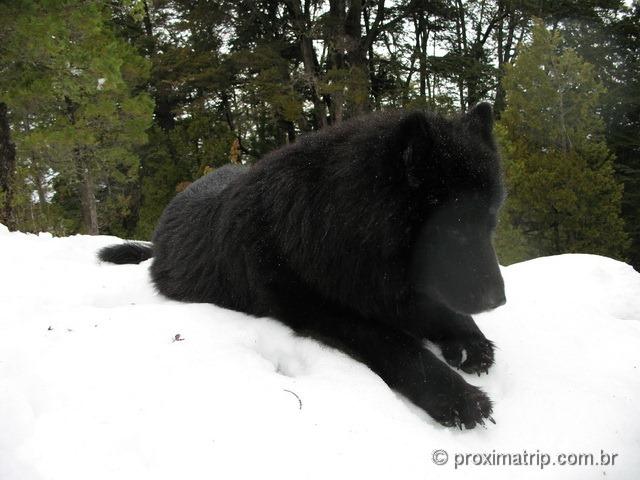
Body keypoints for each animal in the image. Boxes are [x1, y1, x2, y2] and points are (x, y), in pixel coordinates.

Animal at [100, 104, 508, 428]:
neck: (335, 224)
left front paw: (469, 341)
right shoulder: (329, 314)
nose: (498, 301)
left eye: (491, 223)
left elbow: (439, 310)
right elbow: (401, 349)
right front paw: (459, 398)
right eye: (453, 230)